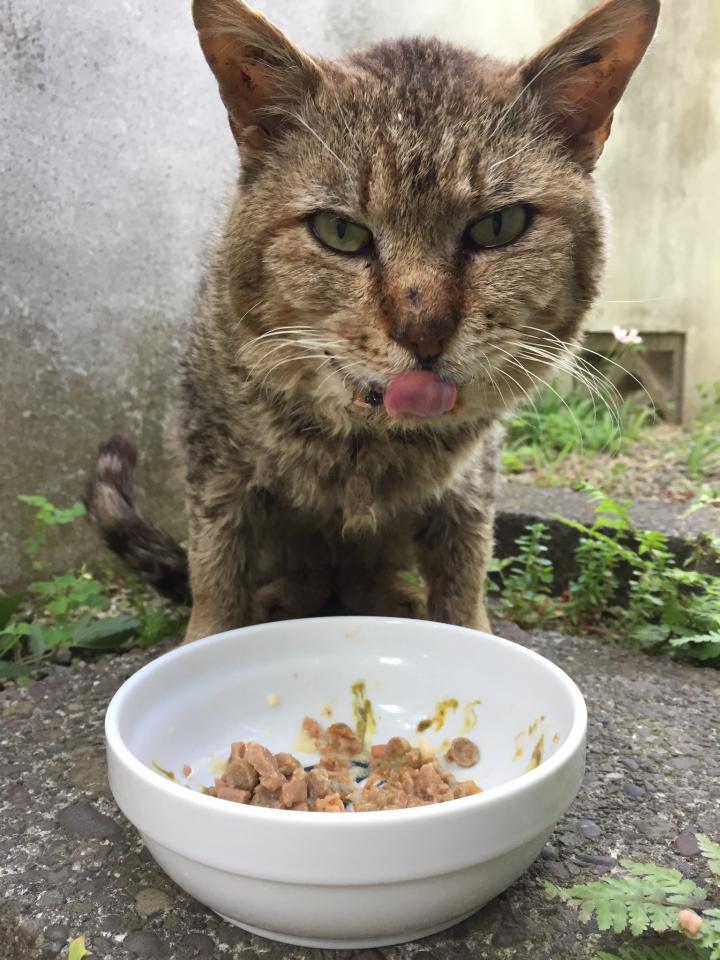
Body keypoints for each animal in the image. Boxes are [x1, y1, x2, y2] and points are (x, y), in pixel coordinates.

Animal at [85, 0, 659, 642]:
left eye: (499, 226)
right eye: (340, 231)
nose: (424, 333)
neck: (367, 440)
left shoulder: (469, 483)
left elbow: (465, 578)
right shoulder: (213, 461)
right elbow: (216, 573)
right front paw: (211, 639)